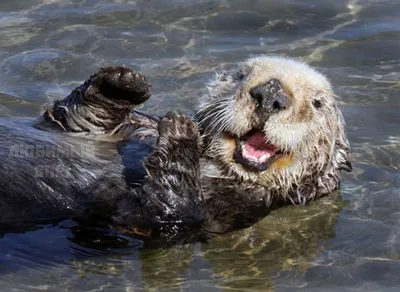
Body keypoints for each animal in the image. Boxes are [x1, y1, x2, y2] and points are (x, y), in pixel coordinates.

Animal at [0, 55, 350, 242]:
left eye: (317, 103)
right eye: (241, 75)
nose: (270, 93)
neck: (211, 166)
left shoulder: (228, 210)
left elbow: (165, 215)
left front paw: (182, 132)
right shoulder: (108, 128)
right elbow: (77, 112)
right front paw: (125, 80)